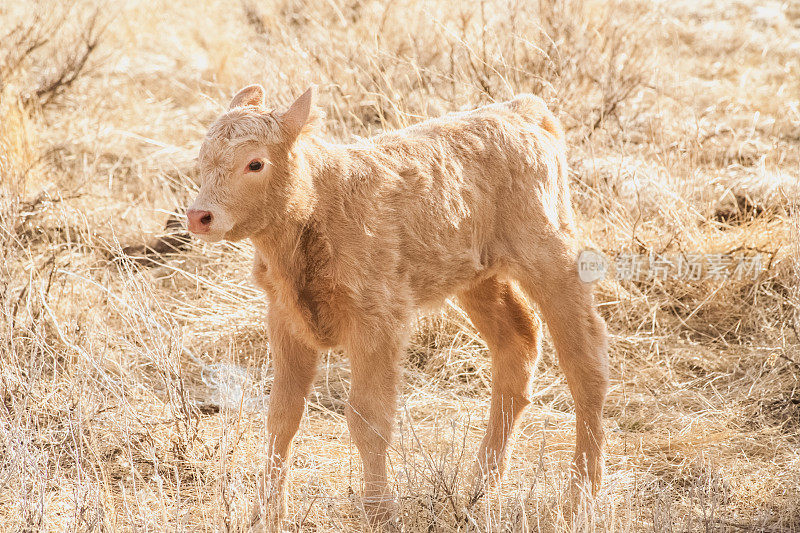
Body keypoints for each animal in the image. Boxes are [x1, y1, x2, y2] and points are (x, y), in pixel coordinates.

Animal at [188, 85, 608, 524]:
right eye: (202, 159)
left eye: (255, 163)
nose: (200, 216)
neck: (321, 201)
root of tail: (524, 112)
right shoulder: (286, 323)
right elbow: (282, 416)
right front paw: (266, 514)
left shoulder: (377, 325)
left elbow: (367, 418)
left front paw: (380, 512)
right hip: (479, 279)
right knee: (518, 341)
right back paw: (479, 487)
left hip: (551, 260)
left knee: (584, 360)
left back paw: (580, 497)